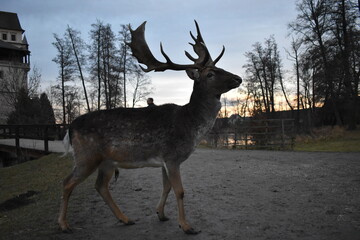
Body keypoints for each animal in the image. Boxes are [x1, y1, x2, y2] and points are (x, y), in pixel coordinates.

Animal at [57, 20, 242, 234]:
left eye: (220, 67)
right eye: (211, 73)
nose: (238, 78)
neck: (190, 124)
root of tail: (70, 127)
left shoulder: (164, 161)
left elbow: (166, 187)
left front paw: (161, 214)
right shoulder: (172, 156)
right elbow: (180, 191)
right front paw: (186, 226)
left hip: (107, 161)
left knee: (100, 186)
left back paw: (125, 219)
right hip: (87, 156)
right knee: (67, 182)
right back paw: (64, 225)